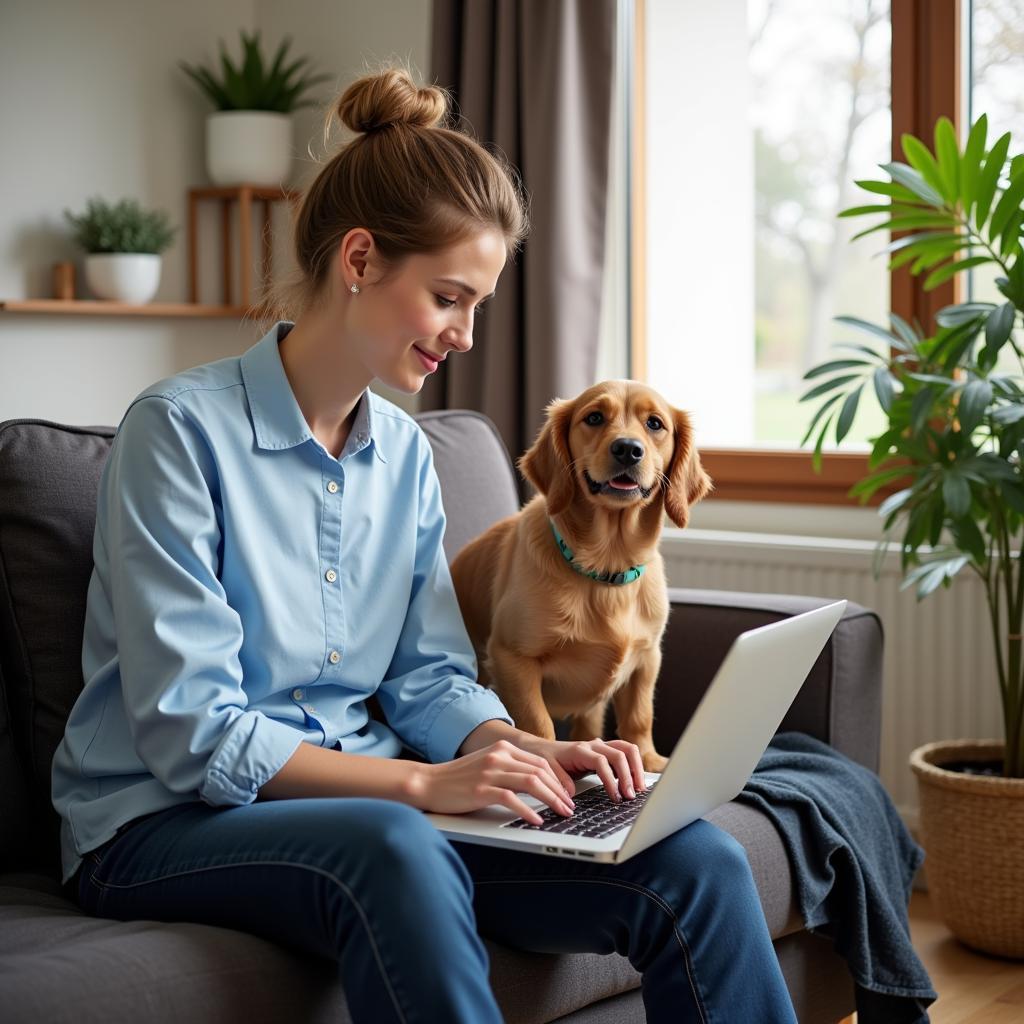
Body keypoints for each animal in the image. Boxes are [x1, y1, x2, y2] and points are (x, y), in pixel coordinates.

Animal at [448, 380, 712, 770]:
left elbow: (639, 716)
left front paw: (649, 761)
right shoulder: (512, 657)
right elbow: (537, 725)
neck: (605, 570)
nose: (627, 449)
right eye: (595, 418)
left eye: (654, 424)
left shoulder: (648, 659)